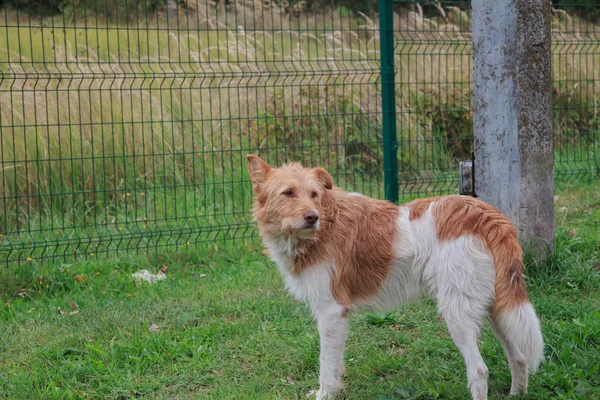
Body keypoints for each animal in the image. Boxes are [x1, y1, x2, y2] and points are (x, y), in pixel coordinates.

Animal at [246, 155, 548, 400]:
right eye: (288, 193)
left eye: (314, 194)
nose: (312, 217)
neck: (326, 223)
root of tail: (484, 212)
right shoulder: (338, 318)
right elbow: (336, 364)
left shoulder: (331, 312)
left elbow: (326, 367)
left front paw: (325, 394)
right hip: (496, 308)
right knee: (519, 357)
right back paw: (517, 393)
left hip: (457, 313)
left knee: (479, 370)